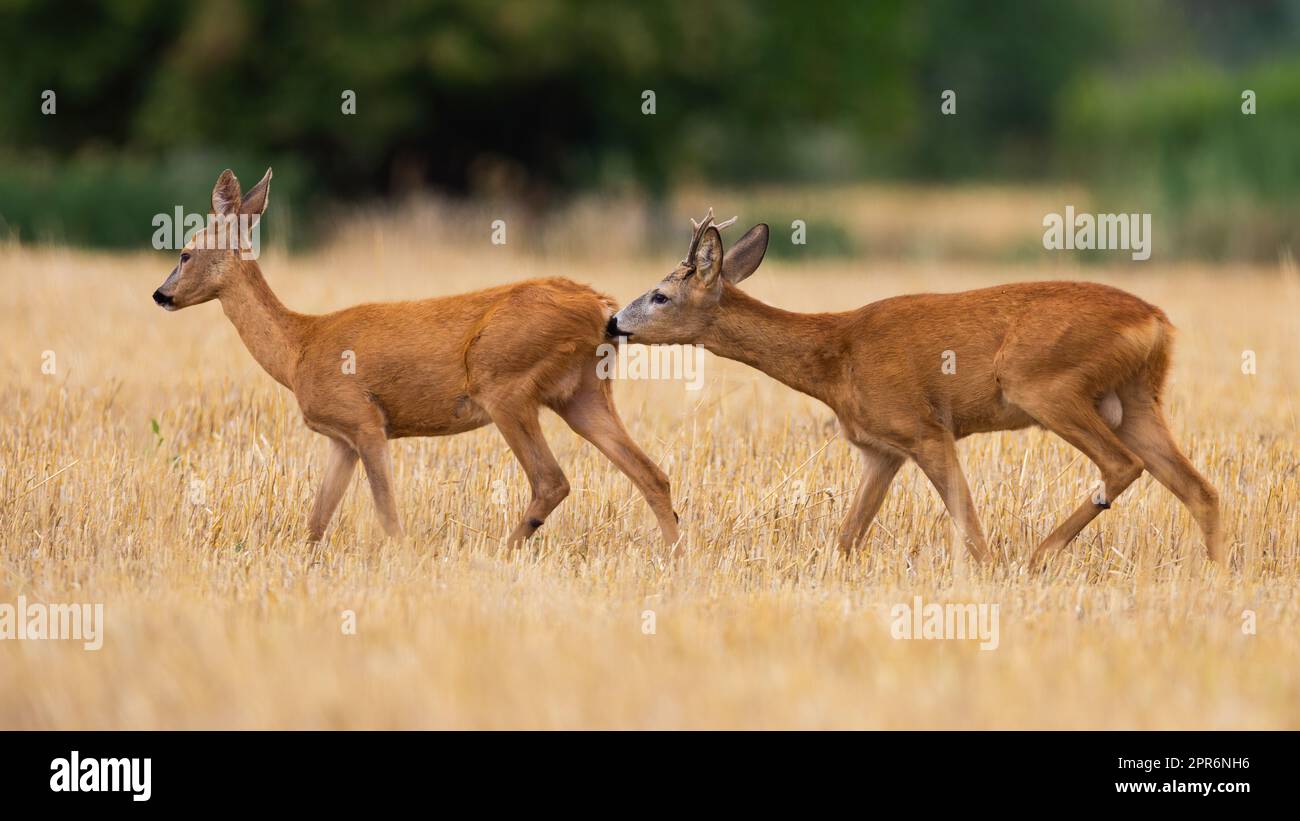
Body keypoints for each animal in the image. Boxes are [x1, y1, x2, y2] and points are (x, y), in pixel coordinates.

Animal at [153, 168, 681, 548]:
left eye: (184, 253)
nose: (161, 295)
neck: (298, 347)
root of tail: (602, 306)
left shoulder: (365, 419)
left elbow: (386, 513)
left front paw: (403, 558)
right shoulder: (341, 438)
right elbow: (316, 521)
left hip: (504, 383)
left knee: (552, 480)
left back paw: (499, 552)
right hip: (583, 392)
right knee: (652, 473)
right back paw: (674, 557)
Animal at [605, 210, 1216, 563]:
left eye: (660, 295)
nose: (614, 322)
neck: (837, 358)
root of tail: (1158, 321)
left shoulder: (924, 428)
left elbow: (970, 531)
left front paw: (992, 571)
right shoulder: (882, 449)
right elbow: (847, 538)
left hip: (1044, 384)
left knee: (1121, 465)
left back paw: (1038, 557)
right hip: (1136, 399)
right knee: (1201, 490)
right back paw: (1216, 570)